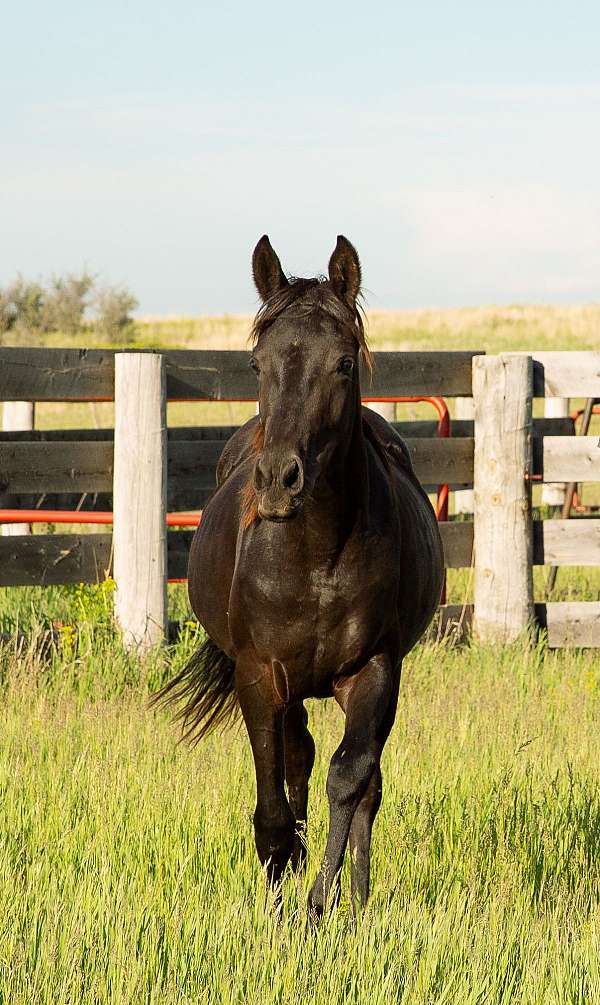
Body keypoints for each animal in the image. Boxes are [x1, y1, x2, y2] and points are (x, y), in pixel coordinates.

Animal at [155, 235, 444, 916]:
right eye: (257, 364)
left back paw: (354, 895)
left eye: (343, 363)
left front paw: (323, 901)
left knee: (358, 779)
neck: (315, 557)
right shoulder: (259, 675)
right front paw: (281, 890)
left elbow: (351, 778)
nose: (278, 481)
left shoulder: (374, 669)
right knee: (296, 761)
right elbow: (273, 801)